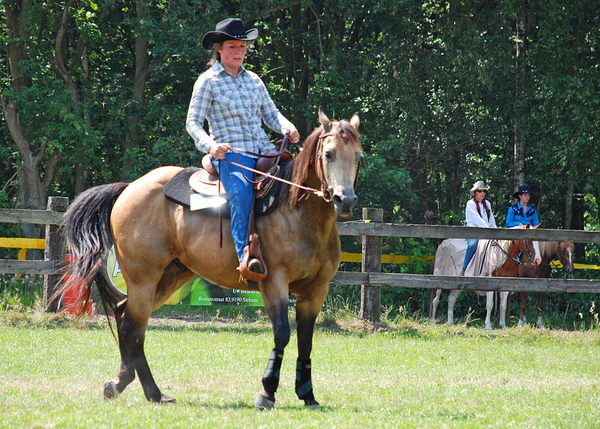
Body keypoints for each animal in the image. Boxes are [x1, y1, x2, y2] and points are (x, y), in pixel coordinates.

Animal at [58, 108, 364, 408]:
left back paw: (122, 383)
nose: (345, 200)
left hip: (170, 276)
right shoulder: (274, 282)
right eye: (329, 154)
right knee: (134, 328)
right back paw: (153, 392)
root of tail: (128, 188)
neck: (298, 213)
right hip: (144, 277)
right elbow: (282, 333)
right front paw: (266, 393)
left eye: (358, 157)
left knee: (124, 315)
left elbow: (305, 340)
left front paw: (307, 394)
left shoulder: (316, 290)